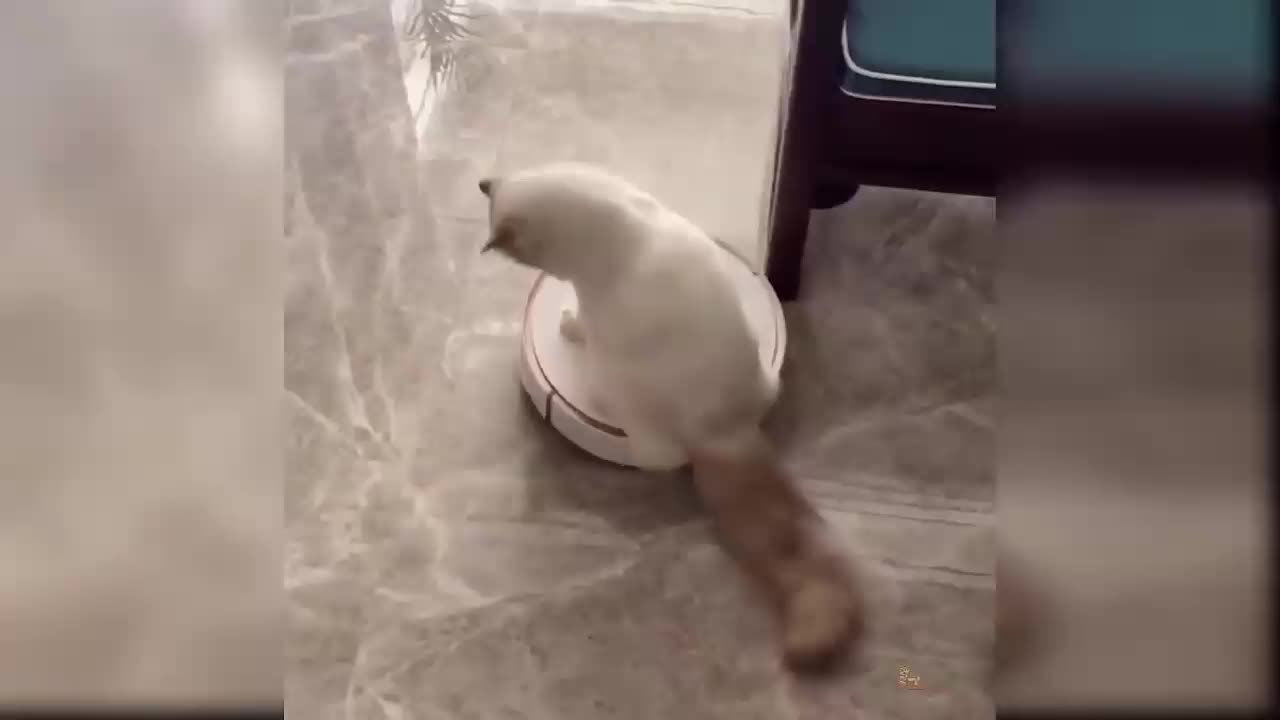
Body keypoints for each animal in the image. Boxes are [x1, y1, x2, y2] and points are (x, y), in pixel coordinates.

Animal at [478, 161, 860, 666]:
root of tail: (730, 431)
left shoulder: (593, 311)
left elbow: (578, 320)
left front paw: (567, 324)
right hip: (764, 378)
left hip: (619, 383)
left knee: (656, 458)